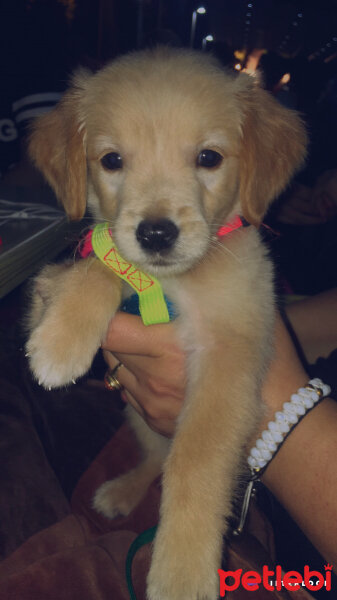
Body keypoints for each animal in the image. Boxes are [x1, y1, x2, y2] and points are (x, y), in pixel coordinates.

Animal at [25, 48, 304, 600]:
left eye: (209, 158)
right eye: (112, 160)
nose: (155, 234)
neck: (173, 287)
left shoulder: (231, 358)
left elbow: (193, 463)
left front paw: (182, 570)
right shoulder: (45, 284)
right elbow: (100, 267)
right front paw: (61, 340)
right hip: (136, 416)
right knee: (153, 455)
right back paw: (121, 491)